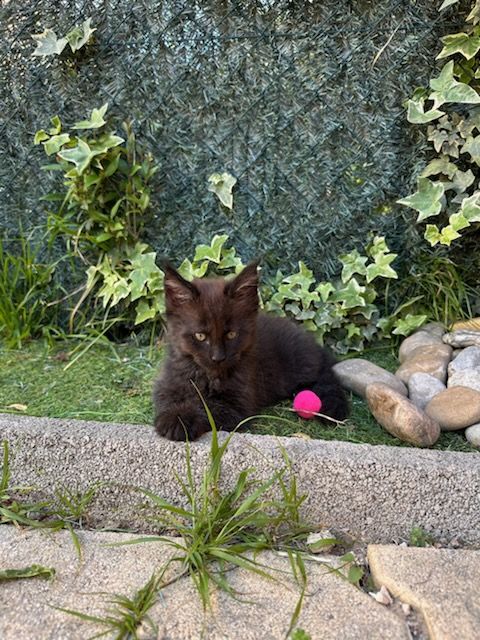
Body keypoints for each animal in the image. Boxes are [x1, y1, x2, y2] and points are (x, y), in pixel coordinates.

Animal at [153, 261, 349, 441]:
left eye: (231, 334)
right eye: (200, 336)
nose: (218, 357)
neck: (208, 377)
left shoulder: (239, 402)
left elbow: (210, 406)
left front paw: (182, 419)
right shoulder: (167, 382)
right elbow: (168, 398)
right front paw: (175, 415)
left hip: (301, 365)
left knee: (327, 375)